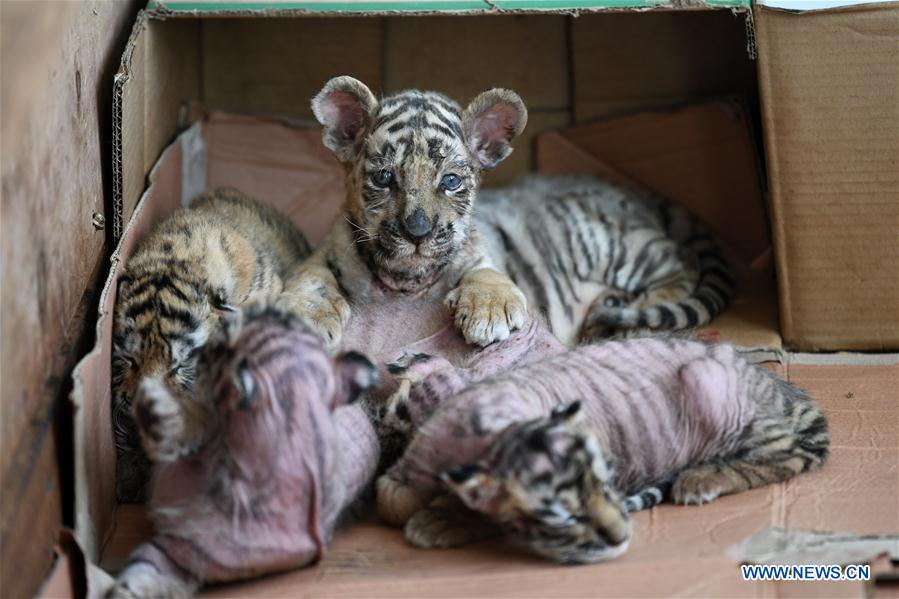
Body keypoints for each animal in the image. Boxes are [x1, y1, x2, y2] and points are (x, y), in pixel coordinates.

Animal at [283, 75, 732, 352]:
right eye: (384, 177)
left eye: (450, 181)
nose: (418, 231)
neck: (405, 281)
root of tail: (634, 192)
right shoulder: (327, 249)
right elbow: (312, 278)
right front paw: (304, 317)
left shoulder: (482, 253)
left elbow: (487, 274)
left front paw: (488, 312)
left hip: (613, 245)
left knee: (680, 266)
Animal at [375, 333, 829, 564]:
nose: (388, 435)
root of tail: (784, 389)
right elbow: (391, 497)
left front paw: (439, 521)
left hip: (712, 385)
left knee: (786, 455)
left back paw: (699, 479)